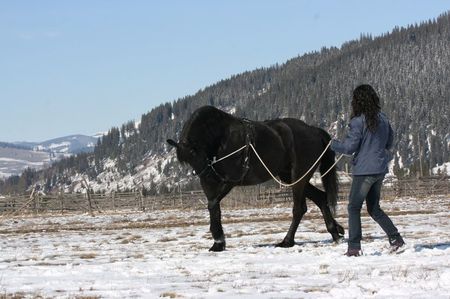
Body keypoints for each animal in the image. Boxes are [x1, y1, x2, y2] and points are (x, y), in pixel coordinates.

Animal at [168, 106, 344, 252]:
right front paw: (218, 243)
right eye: (187, 161)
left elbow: (212, 205)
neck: (221, 137)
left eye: (196, 151)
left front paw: (218, 239)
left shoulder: (230, 180)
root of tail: (313, 130)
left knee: (299, 209)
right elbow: (214, 208)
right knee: (321, 198)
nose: (207, 174)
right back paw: (335, 231)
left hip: (299, 176)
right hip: (290, 177)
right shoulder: (210, 185)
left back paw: (287, 241)